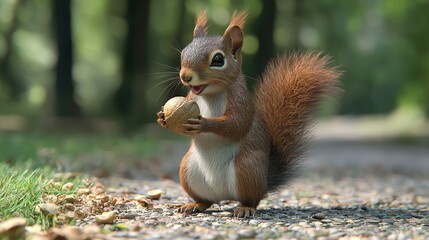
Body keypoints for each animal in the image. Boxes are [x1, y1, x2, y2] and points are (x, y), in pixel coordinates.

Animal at [155, 11, 340, 218]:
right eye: (183, 53)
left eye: (218, 60)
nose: (185, 76)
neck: (210, 94)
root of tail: (225, 196)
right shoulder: (191, 97)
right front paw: (162, 117)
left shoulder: (242, 103)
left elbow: (237, 124)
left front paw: (204, 124)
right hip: (187, 169)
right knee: (207, 201)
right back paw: (194, 205)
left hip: (247, 168)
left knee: (252, 199)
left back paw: (244, 208)